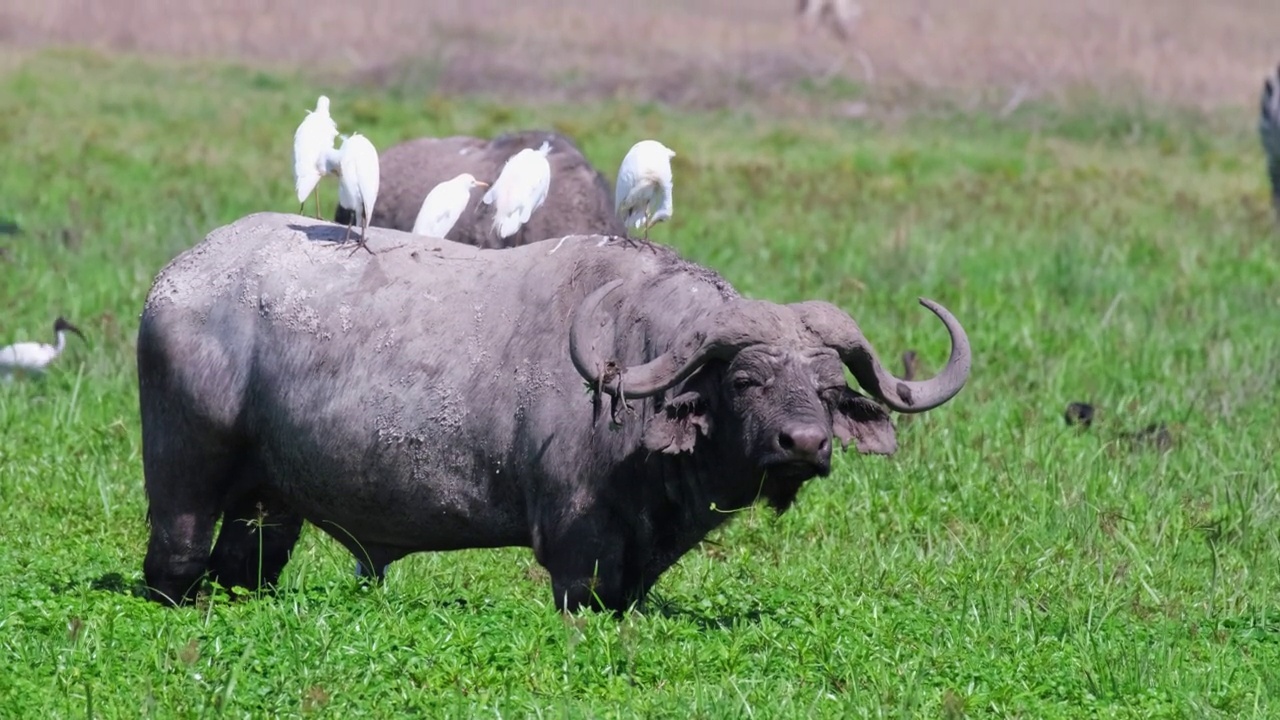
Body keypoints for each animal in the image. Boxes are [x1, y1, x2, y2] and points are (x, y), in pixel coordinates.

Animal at [137, 211, 967, 609]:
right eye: (746, 381)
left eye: (826, 388)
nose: (804, 444)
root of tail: (175, 280)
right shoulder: (577, 546)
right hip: (183, 477)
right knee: (174, 556)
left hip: (270, 504)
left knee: (248, 563)